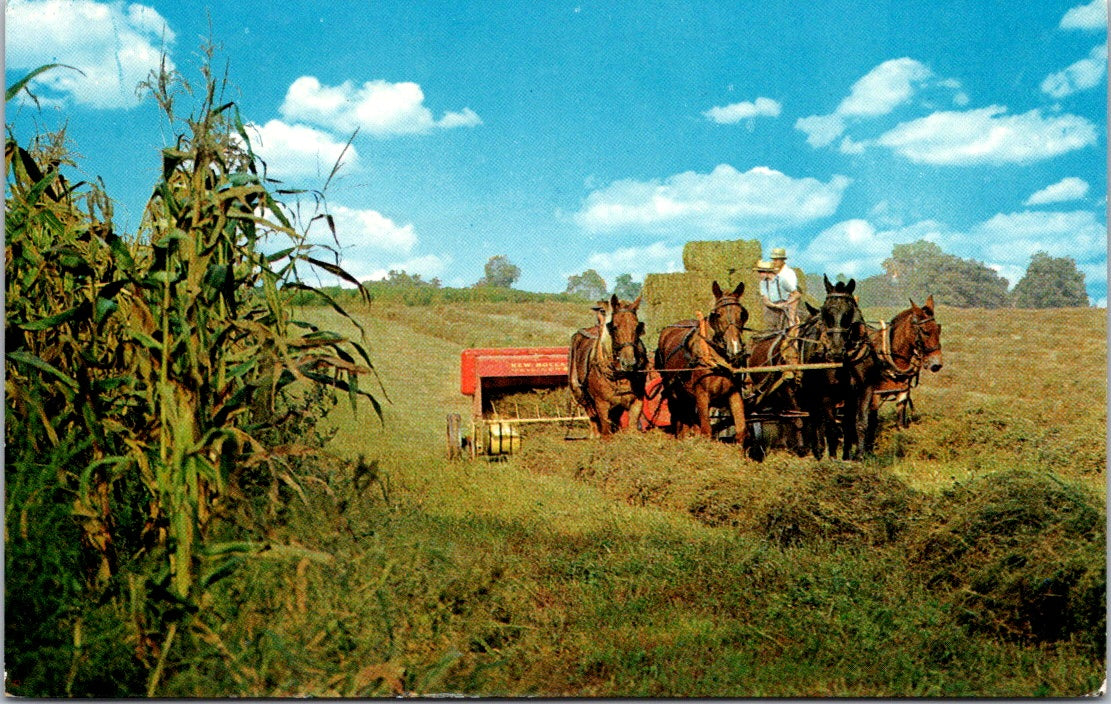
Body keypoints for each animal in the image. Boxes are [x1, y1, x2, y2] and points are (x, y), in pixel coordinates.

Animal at [568, 290, 648, 433]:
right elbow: (605, 431)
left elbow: (633, 427)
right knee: (593, 421)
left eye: (637, 327)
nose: (628, 363)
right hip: (580, 394)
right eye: (614, 327)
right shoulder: (601, 404)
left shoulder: (637, 401)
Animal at [653, 276, 751, 441]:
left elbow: (741, 431)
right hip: (673, 392)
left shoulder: (734, 393)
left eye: (742, 314)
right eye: (717, 314)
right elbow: (706, 431)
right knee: (679, 419)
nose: (735, 348)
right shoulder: (702, 395)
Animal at [862, 290, 942, 433]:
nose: (936, 363)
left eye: (938, 330)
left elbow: (900, 424)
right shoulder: (874, 396)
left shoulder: (903, 393)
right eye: (925, 331)